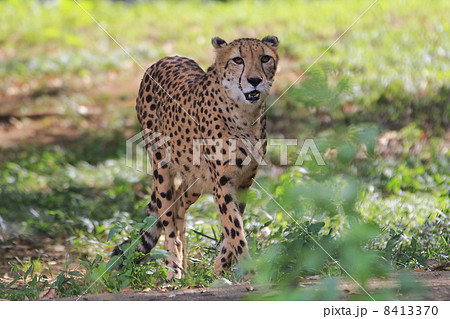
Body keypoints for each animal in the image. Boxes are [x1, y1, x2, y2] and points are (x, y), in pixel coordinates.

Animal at [113, 35, 278, 280]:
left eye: (265, 58)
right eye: (237, 60)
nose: (255, 80)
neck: (245, 114)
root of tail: (164, 58)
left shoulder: (243, 181)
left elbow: (231, 227)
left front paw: (221, 267)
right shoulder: (222, 182)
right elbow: (234, 229)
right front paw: (249, 273)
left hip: (196, 179)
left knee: (179, 202)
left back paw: (184, 265)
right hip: (162, 169)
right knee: (167, 215)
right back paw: (173, 268)